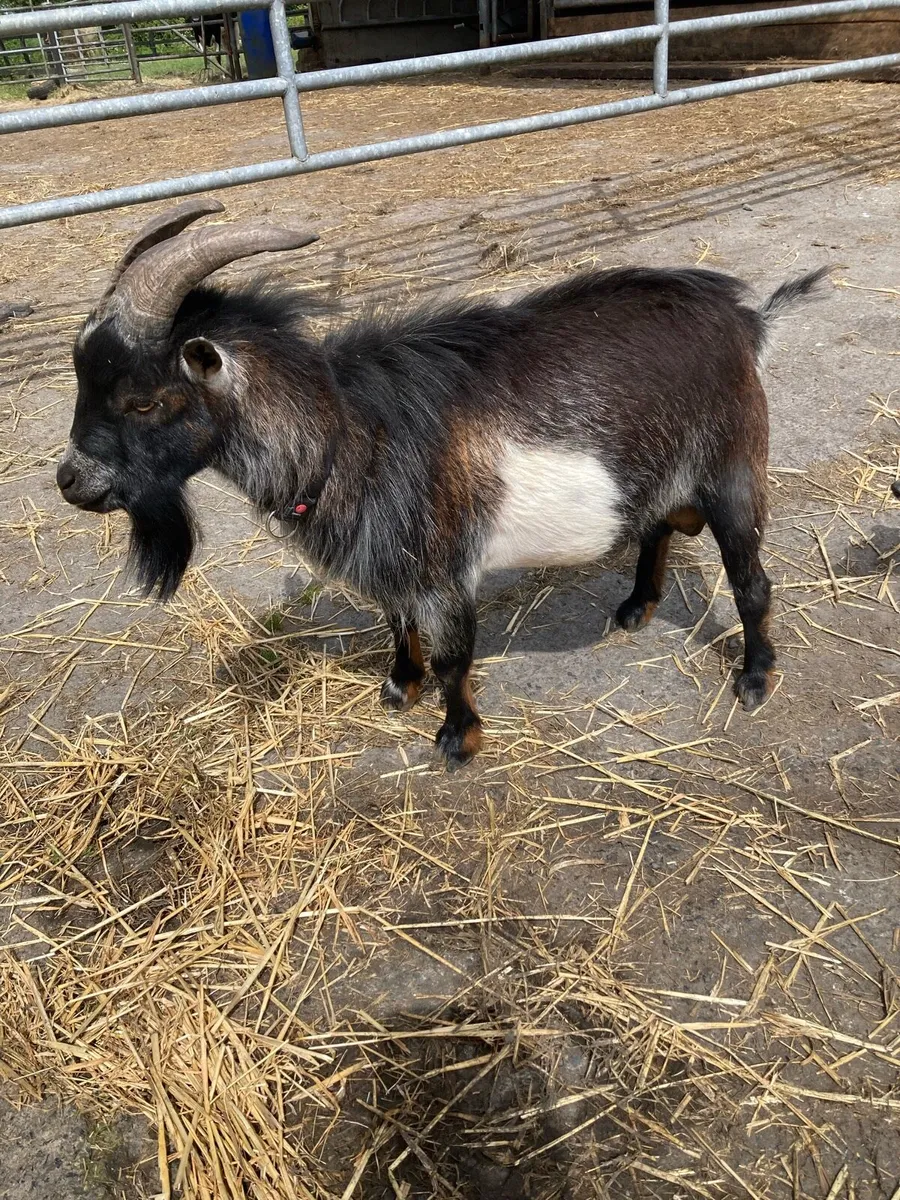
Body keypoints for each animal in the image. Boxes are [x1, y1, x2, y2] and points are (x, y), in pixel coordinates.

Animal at [56, 200, 829, 766]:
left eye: (142, 400)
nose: (71, 482)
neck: (350, 431)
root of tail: (745, 320)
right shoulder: (394, 560)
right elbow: (399, 624)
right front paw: (400, 687)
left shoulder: (446, 564)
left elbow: (456, 655)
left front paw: (458, 739)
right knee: (658, 526)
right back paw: (637, 606)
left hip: (733, 472)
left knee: (752, 581)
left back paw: (755, 678)